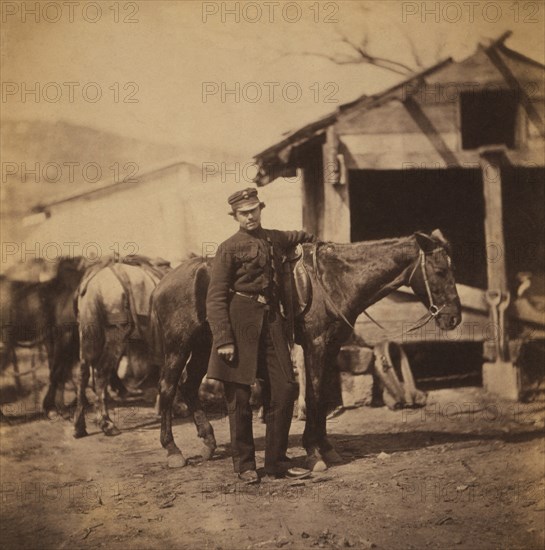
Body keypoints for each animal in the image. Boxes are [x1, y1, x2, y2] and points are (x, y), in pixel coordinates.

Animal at [152, 232, 460, 470]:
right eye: (440, 271)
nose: (454, 318)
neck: (334, 280)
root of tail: (161, 284)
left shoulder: (331, 347)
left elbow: (320, 396)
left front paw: (325, 447)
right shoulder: (316, 344)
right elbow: (314, 394)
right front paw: (313, 451)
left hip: (204, 345)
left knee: (188, 385)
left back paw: (208, 442)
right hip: (179, 346)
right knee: (168, 388)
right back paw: (173, 451)